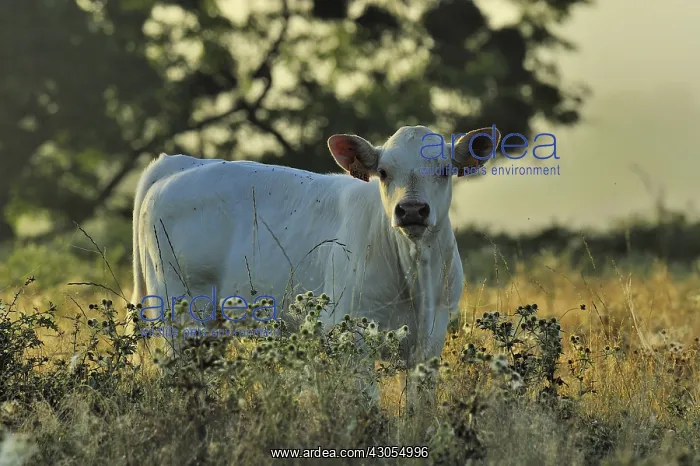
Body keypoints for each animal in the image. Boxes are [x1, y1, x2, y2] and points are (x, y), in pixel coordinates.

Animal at [130, 125, 501, 407]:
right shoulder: (352, 336)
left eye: (444, 170)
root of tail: (179, 163)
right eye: (383, 173)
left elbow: (418, 407)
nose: (411, 210)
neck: (416, 275)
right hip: (179, 309)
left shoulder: (431, 339)